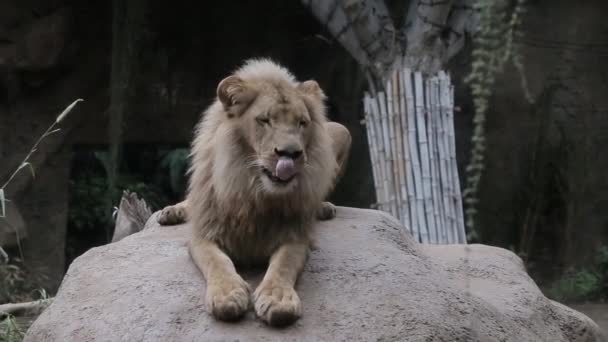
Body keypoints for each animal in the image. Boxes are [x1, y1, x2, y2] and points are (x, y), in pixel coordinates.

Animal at [158, 58, 352, 326]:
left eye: (302, 123)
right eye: (265, 120)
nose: (290, 154)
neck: (254, 191)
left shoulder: (296, 236)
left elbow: (284, 264)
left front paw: (277, 299)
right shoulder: (203, 234)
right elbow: (216, 261)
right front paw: (228, 294)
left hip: (341, 131)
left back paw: (323, 208)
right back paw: (173, 211)